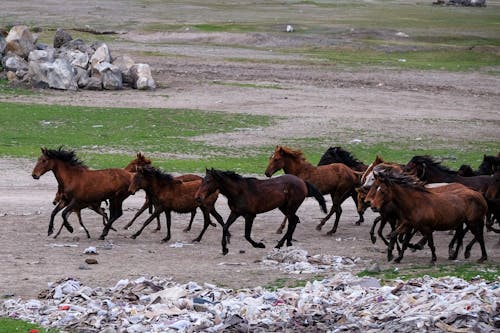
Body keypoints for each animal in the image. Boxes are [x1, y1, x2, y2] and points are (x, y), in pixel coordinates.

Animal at [193, 169, 326, 254]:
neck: (239, 191)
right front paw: (224, 249)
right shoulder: (235, 213)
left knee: (293, 222)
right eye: (203, 180)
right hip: (284, 208)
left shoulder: (250, 216)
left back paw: (279, 245)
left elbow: (247, 235)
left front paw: (259, 245)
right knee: (294, 221)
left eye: (208, 181)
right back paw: (287, 243)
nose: (197, 197)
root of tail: (302, 182)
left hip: (291, 207)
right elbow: (225, 227)